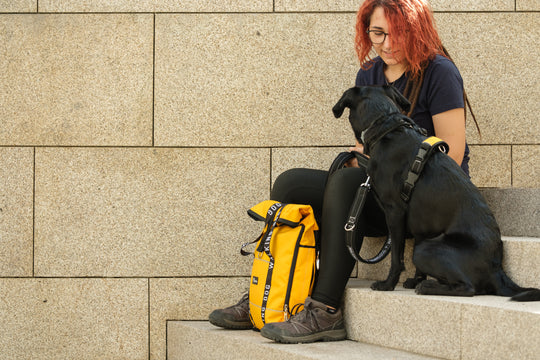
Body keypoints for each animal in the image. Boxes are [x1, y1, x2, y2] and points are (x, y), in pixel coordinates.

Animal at [334, 86, 540, 302]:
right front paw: (414, 279)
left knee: (469, 288)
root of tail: (497, 269)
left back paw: (427, 287)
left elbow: (396, 256)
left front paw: (388, 284)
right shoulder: (421, 225)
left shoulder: (394, 211)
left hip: (425, 250)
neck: (385, 125)